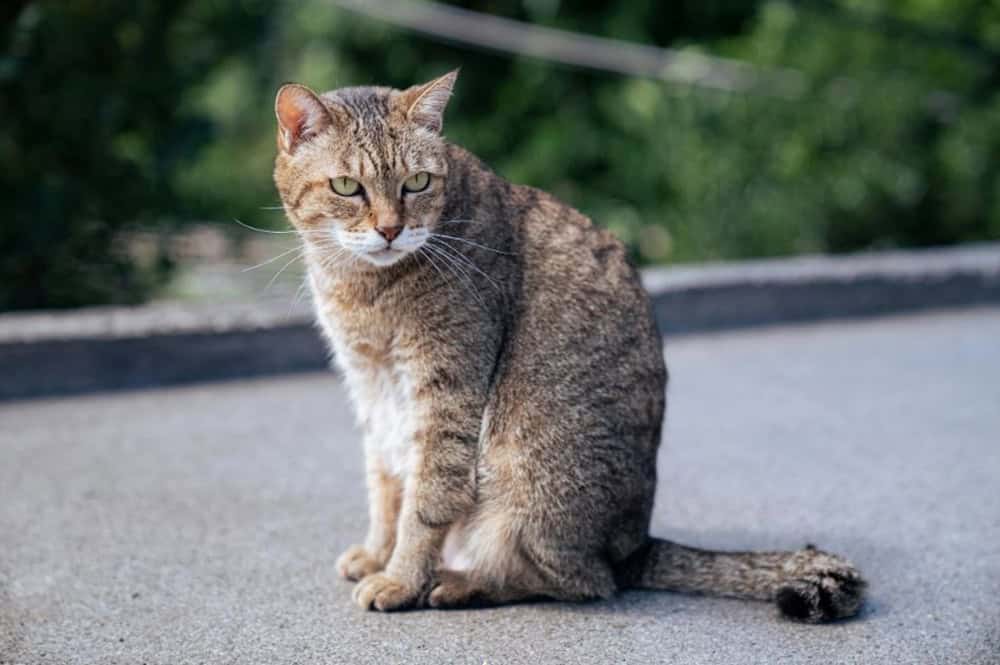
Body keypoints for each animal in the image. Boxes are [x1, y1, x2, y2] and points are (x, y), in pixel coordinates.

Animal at [270, 70, 864, 620]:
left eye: (417, 182)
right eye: (347, 187)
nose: (391, 230)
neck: (361, 285)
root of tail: (634, 548)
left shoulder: (444, 392)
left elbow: (426, 499)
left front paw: (400, 577)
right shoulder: (371, 388)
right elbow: (386, 486)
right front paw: (378, 554)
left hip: (524, 471)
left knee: (579, 581)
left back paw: (460, 582)